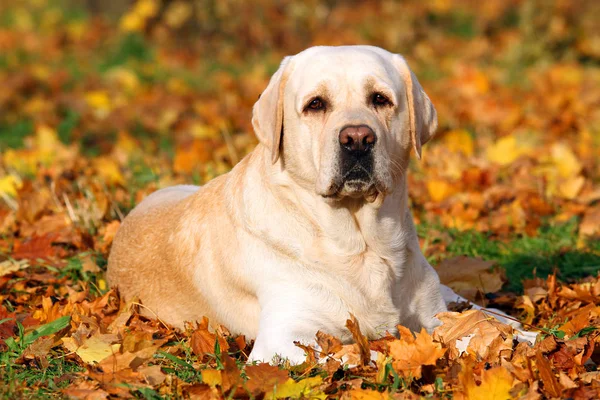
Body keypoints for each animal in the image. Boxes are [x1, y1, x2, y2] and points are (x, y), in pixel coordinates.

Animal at [109, 45, 454, 364]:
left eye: (380, 99)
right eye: (316, 104)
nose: (357, 139)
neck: (362, 243)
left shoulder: (433, 314)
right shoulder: (284, 340)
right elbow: (355, 354)